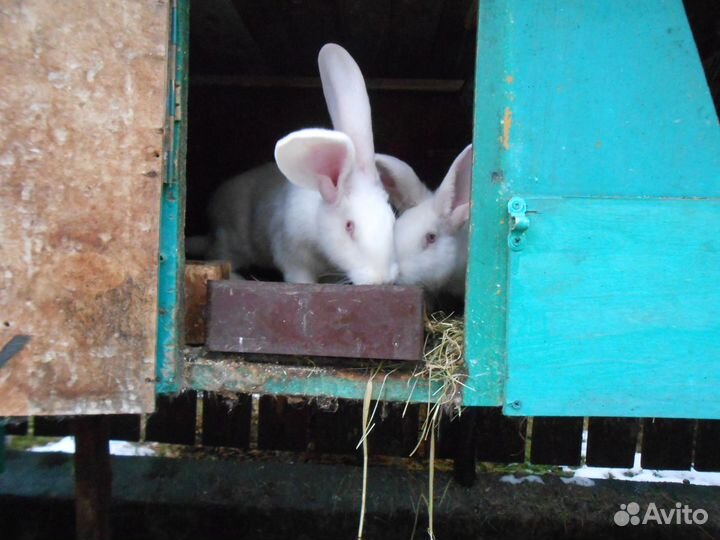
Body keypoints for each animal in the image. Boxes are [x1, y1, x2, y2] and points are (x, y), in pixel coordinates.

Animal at [201, 44, 400, 286]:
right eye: (349, 226)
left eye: (393, 220)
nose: (382, 279)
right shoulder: (292, 257)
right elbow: (300, 279)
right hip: (231, 238)